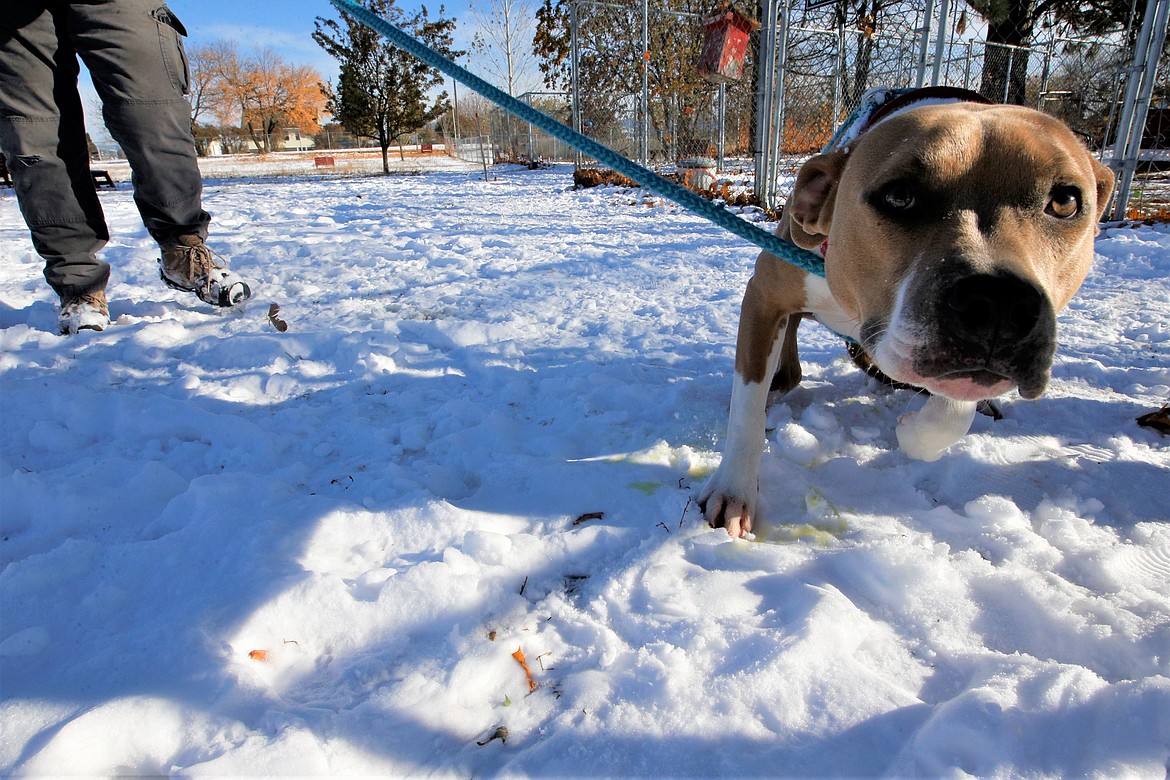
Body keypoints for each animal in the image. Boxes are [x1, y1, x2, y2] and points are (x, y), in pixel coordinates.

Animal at [692, 87, 1113, 537]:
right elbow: (747, 411)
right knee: (788, 373)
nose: (999, 301)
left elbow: (950, 413)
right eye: (898, 197)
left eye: (1065, 202)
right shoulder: (764, 298)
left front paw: (915, 430)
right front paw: (734, 493)